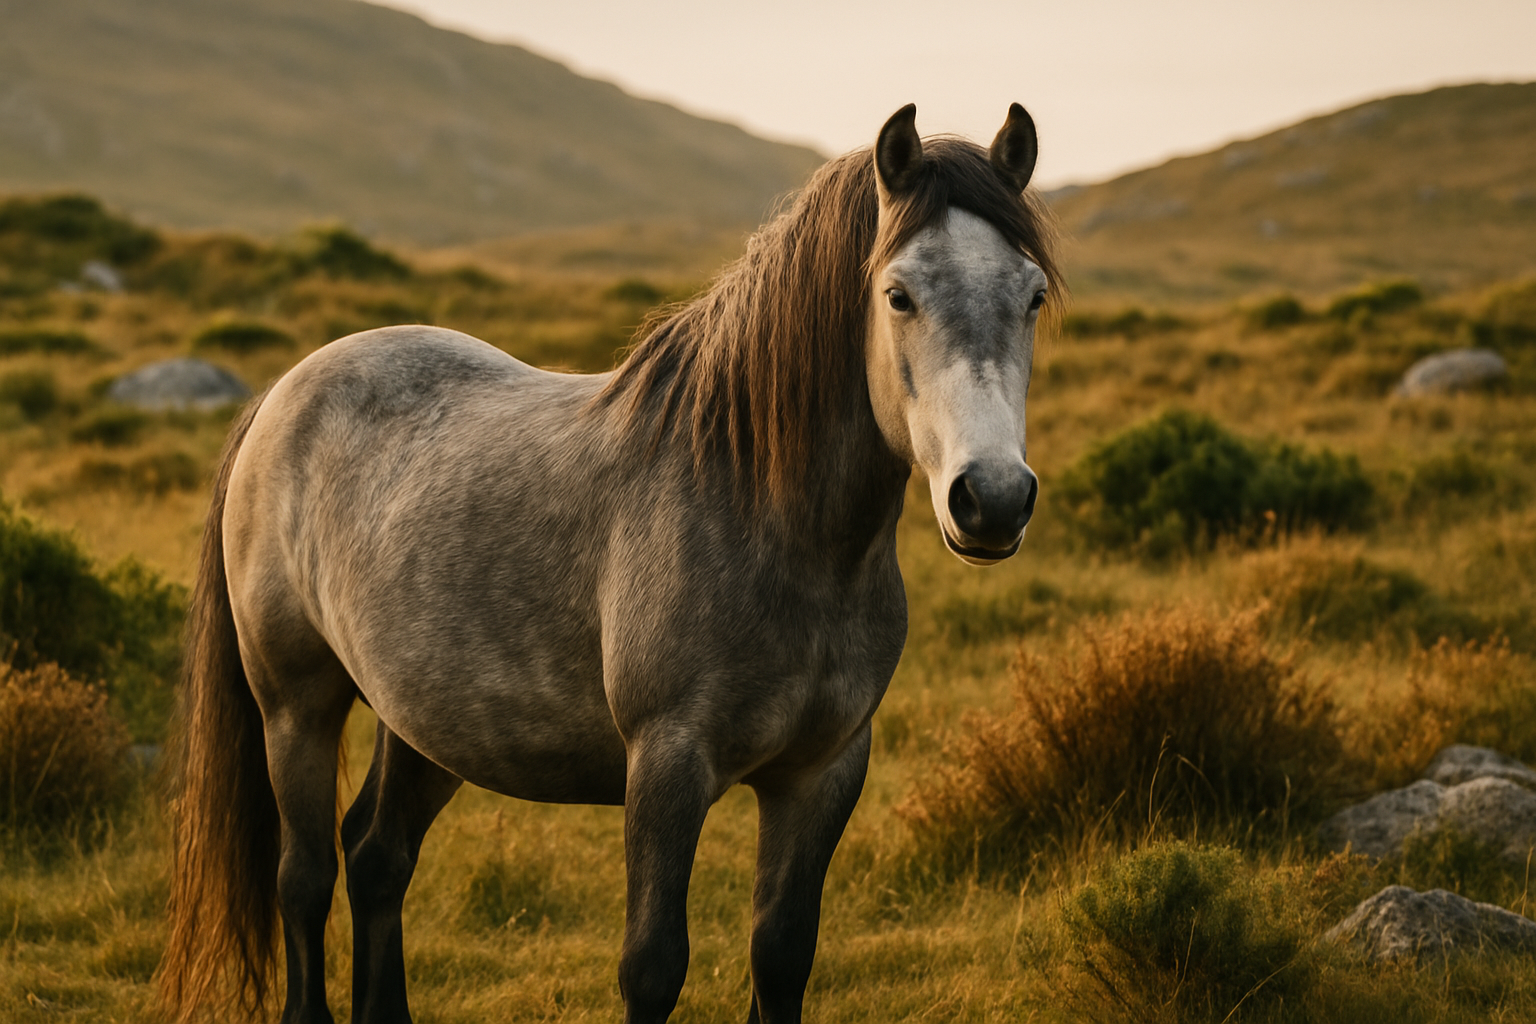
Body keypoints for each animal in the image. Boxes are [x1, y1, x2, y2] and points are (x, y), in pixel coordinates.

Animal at [158, 102, 1061, 1024]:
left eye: (1032, 295)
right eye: (898, 294)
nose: (992, 499)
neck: (774, 526)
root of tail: (281, 392)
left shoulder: (824, 772)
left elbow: (781, 955)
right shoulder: (666, 765)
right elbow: (653, 965)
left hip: (425, 720)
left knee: (377, 857)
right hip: (294, 705)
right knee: (303, 881)